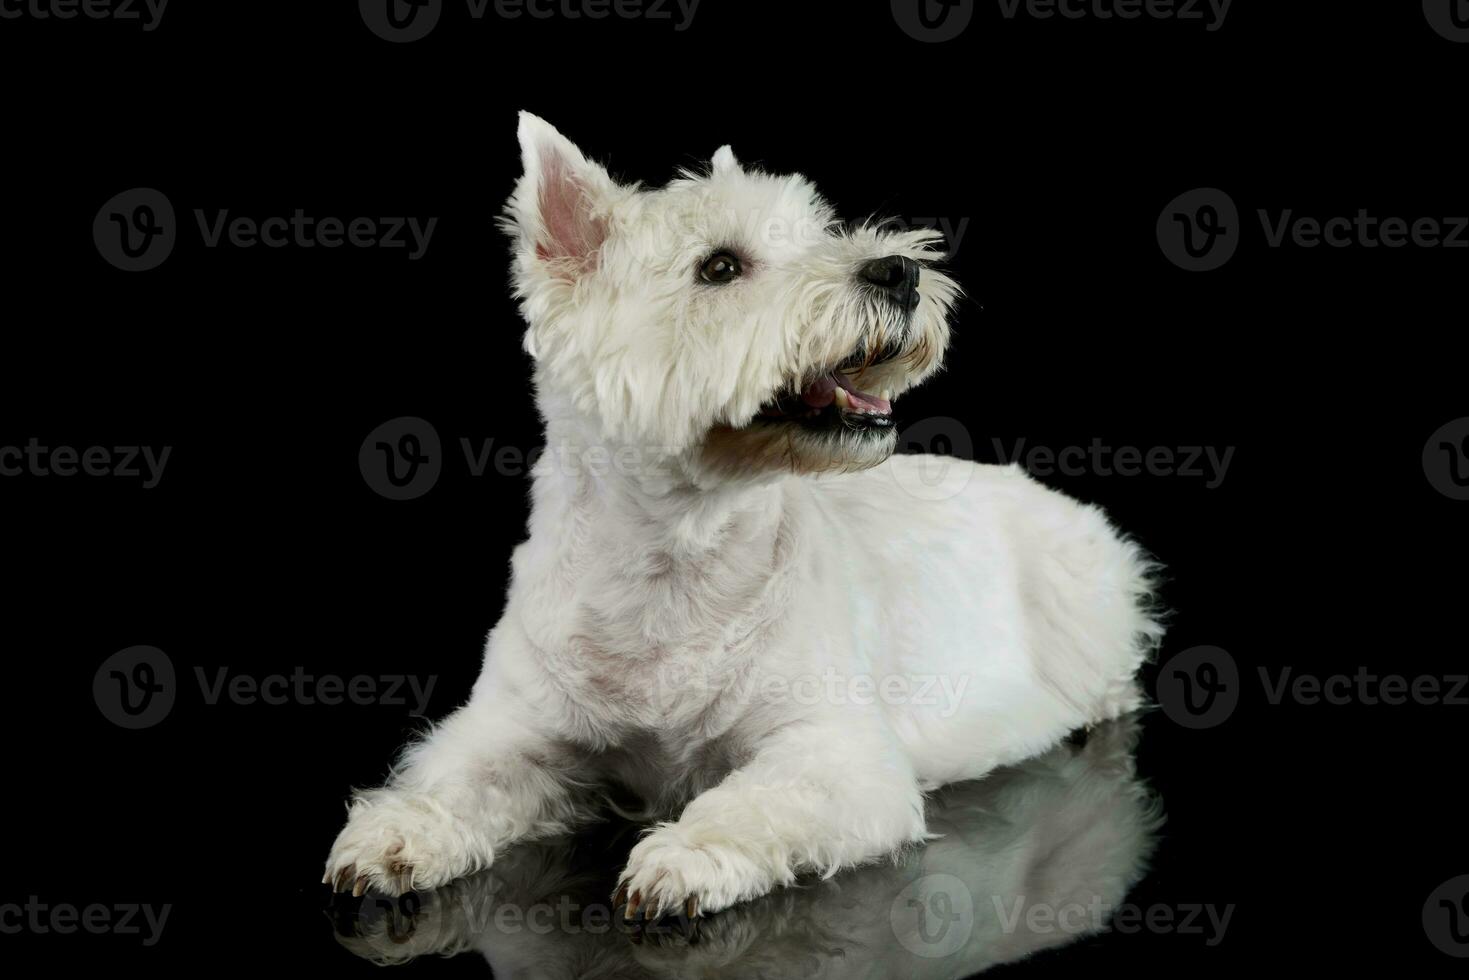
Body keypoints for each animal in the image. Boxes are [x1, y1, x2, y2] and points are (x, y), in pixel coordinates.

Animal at [327, 115, 1163, 922]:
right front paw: (394, 833)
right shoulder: (513, 724)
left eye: (817, 233)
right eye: (720, 267)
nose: (899, 271)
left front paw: (681, 859)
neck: (676, 551)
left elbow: (754, 801)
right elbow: (457, 778)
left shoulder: (836, 752)